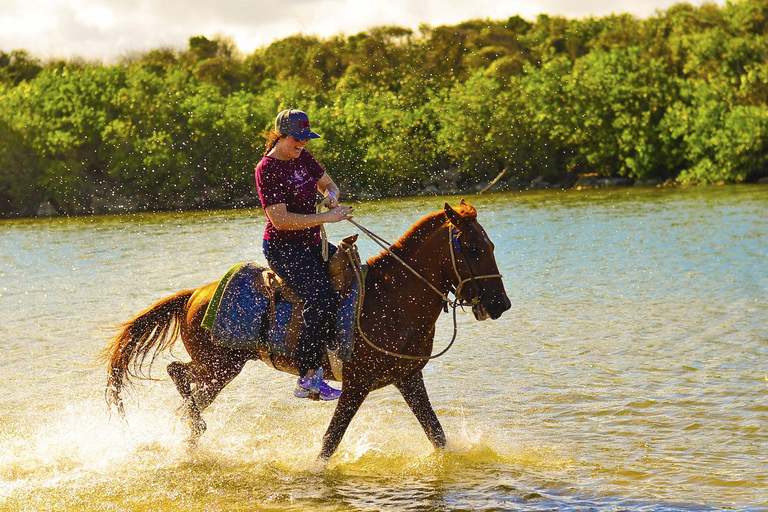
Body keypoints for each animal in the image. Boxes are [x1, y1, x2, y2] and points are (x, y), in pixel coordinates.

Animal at [102, 201, 510, 460]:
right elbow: (330, 442)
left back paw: (190, 432)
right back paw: (195, 425)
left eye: (491, 244)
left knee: (189, 396)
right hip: (219, 365)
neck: (392, 298)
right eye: (473, 248)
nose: (501, 304)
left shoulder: (408, 377)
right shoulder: (357, 384)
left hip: (221, 370)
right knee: (177, 374)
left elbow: (436, 435)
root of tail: (195, 294)